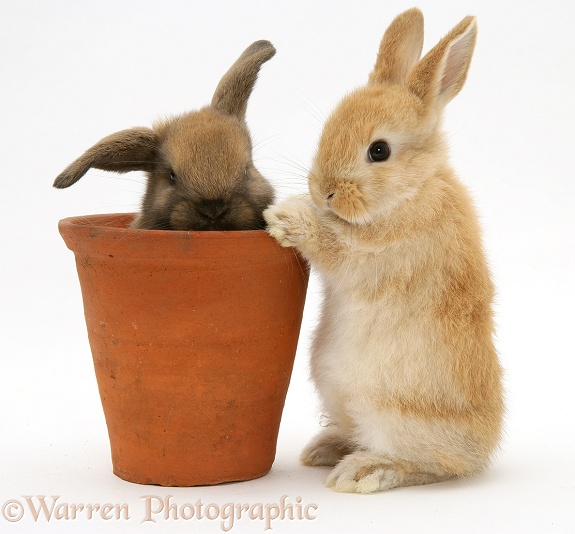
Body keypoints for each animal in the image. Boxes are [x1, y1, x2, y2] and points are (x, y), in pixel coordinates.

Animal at [266, 8, 504, 494]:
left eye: (379, 150)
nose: (324, 191)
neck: (413, 189)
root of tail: (482, 449)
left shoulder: (373, 253)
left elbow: (334, 244)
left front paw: (285, 217)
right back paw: (324, 448)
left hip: (394, 412)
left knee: (434, 463)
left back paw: (362, 471)